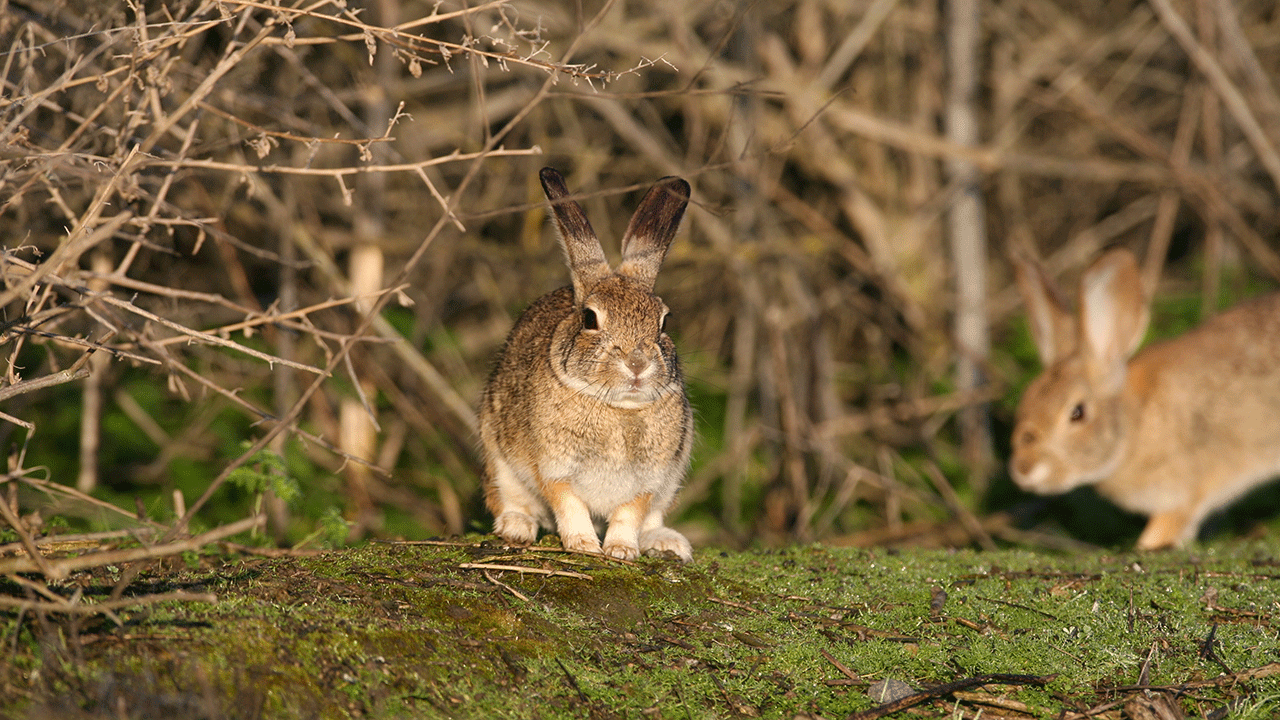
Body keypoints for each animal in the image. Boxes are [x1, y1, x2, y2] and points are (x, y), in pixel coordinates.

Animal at [478, 167, 695, 562]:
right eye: (590, 319)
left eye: (664, 321)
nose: (637, 364)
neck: (618, 407)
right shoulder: (553, 469)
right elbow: (569, 504)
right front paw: (583, 545)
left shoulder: (649, 481)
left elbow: (630, 514)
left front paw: (621, 550)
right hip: (498, 456)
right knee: (509, 498)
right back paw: (517, 527)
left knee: (653, 519)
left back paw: (666, 542)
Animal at [1009, 246, 1280, 549]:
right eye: (1027, 399)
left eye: (1077, 413)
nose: (1023, 470)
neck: (1134, 426)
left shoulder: (1183, 493)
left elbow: (1162, 531)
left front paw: (1146, 546)